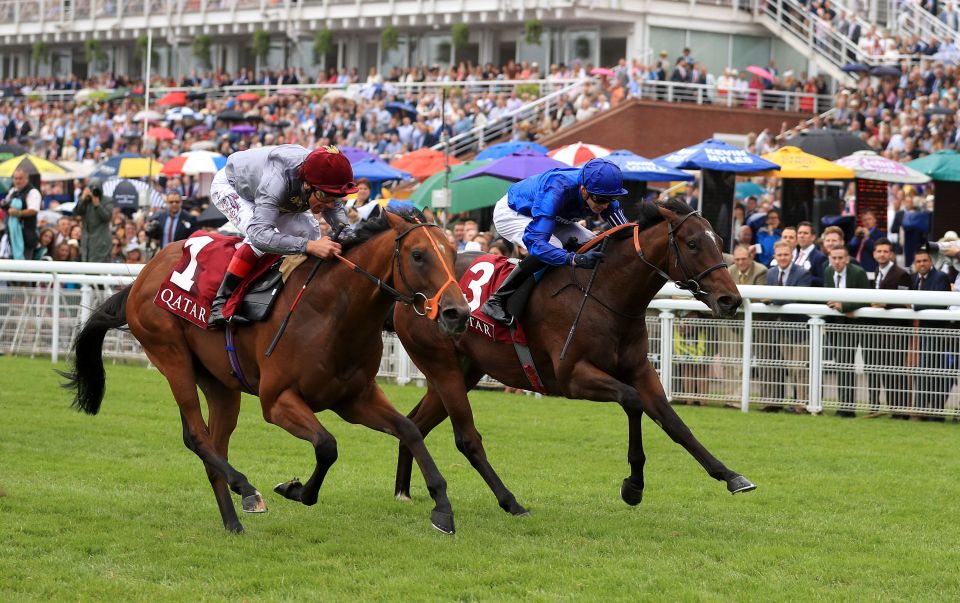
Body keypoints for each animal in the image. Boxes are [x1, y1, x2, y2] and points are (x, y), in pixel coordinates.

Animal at [58, 210, 470, 536]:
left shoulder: (355, 397)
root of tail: (142, 276)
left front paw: (442, 509)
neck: (333, 313)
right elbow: (327, 445)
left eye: (452, 255)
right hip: (171, 357)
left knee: (214, 443)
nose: (457, 313)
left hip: (221, 384)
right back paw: (246, 488)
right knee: (196, 437)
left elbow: (409, 430)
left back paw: (233, 521)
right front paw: (295, 490)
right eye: (418, 255)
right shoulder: (277, 401)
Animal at [394, 201, 752, 516]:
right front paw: (633, 486)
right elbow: (632, 401)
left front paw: (731, 475)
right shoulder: (573, 377)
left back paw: (404, 492)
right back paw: (506, 502)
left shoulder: (640, 370)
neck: (606, 292)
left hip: (462, 371)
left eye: (720, 243)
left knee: (415, 422)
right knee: (459, 436)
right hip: (441, 365)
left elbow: (674, 423)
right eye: (692, 244)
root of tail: (409, 293)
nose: (730, 300)